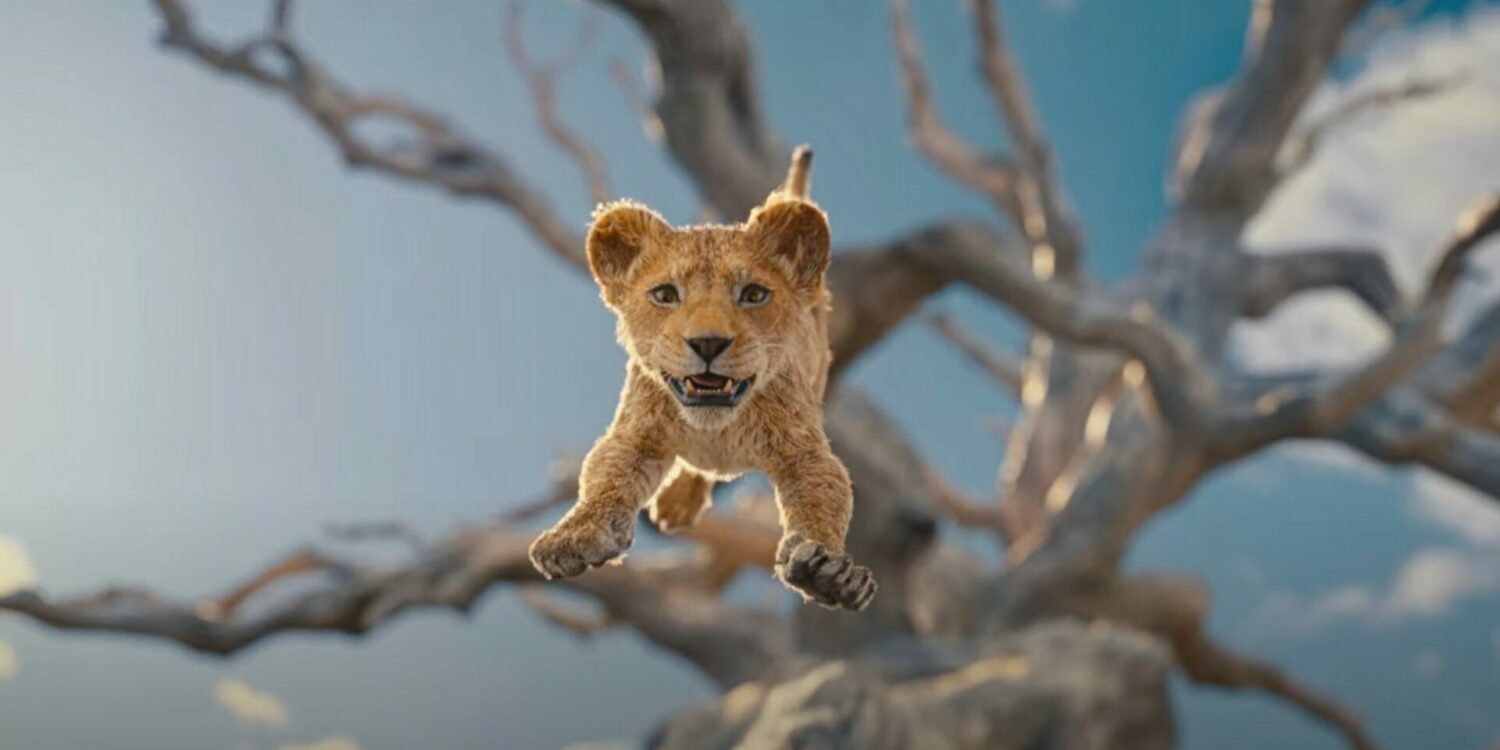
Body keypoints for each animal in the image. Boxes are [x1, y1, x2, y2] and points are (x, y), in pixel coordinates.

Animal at [528, 147, 876, 611]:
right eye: (665, 295)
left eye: (753, 294)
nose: (708, 343)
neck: (716, 429)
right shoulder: (636, 433)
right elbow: (604, 477)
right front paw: (573, 537)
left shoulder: (803, 450)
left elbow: (824, 497)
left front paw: (829, 572)